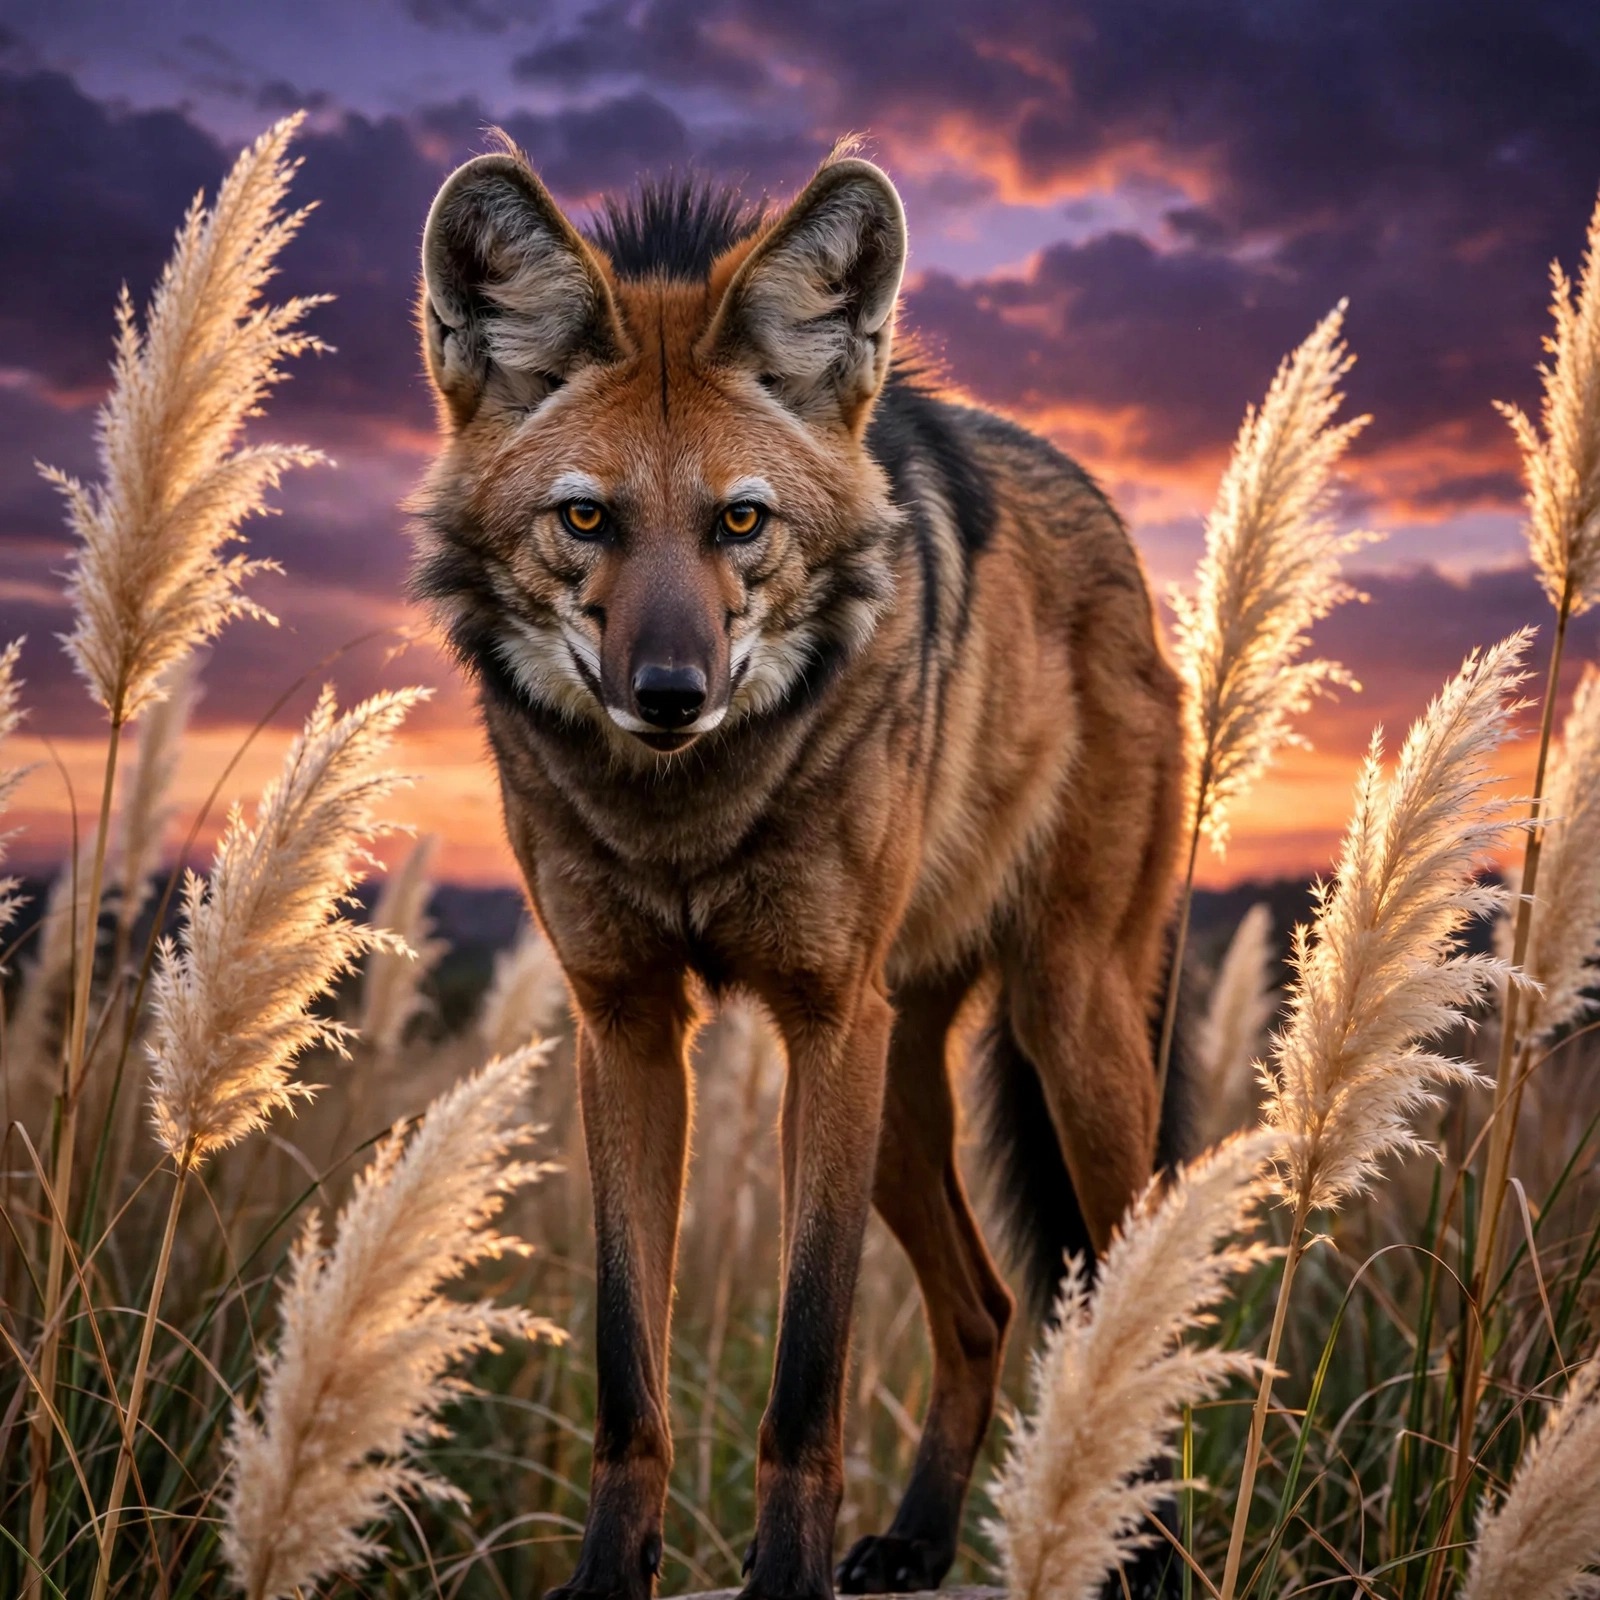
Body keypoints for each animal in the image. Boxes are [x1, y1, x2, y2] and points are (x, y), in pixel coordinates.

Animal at [409, 136, 1191, 1599]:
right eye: (586, 519)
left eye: (741, 523)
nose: (668, 692)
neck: (683, 813)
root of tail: (1110, 522)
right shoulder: (627, 1029)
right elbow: (630, 1371)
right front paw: (613, 1578)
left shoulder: (827, 1023)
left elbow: (805, 1370)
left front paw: (784, 1579)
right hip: (900, 1095)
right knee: (987, 1304)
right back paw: (919, 1542)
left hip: (1063, 1036)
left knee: (1145, 1297)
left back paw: (1146, 1558)